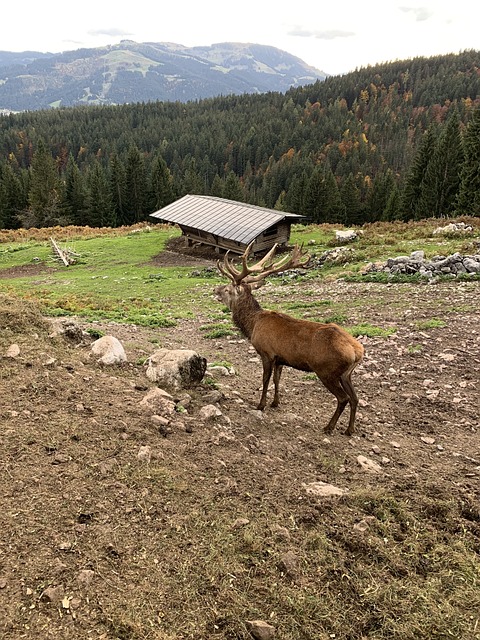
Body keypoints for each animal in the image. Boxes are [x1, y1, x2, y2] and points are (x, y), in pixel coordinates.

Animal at [214, 244, 364, 436]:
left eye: (227, 289)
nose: (215, 290)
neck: (252, 324)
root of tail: (357, 351)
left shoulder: (266, 353)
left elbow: (265, 379)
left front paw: (261, 404)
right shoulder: (280, 359)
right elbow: (277, 380)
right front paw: (275, 403)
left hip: (327, 371)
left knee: (343, 398)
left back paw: (329, 427)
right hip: (346, 374)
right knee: (355, 398)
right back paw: (349, 429)